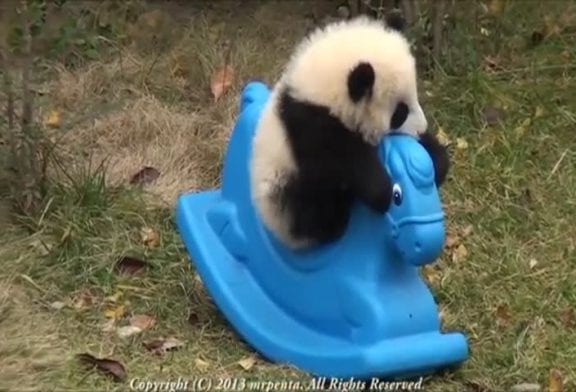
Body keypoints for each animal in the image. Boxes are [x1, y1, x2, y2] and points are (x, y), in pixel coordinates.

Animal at [250, 15, 448, 250]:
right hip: (283, 191)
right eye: (400, 113)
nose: (421, 128)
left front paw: (437, 160)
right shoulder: (310, 125)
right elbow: (342, 159)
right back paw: (337, 218)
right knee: (313, 209)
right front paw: (382, 190)